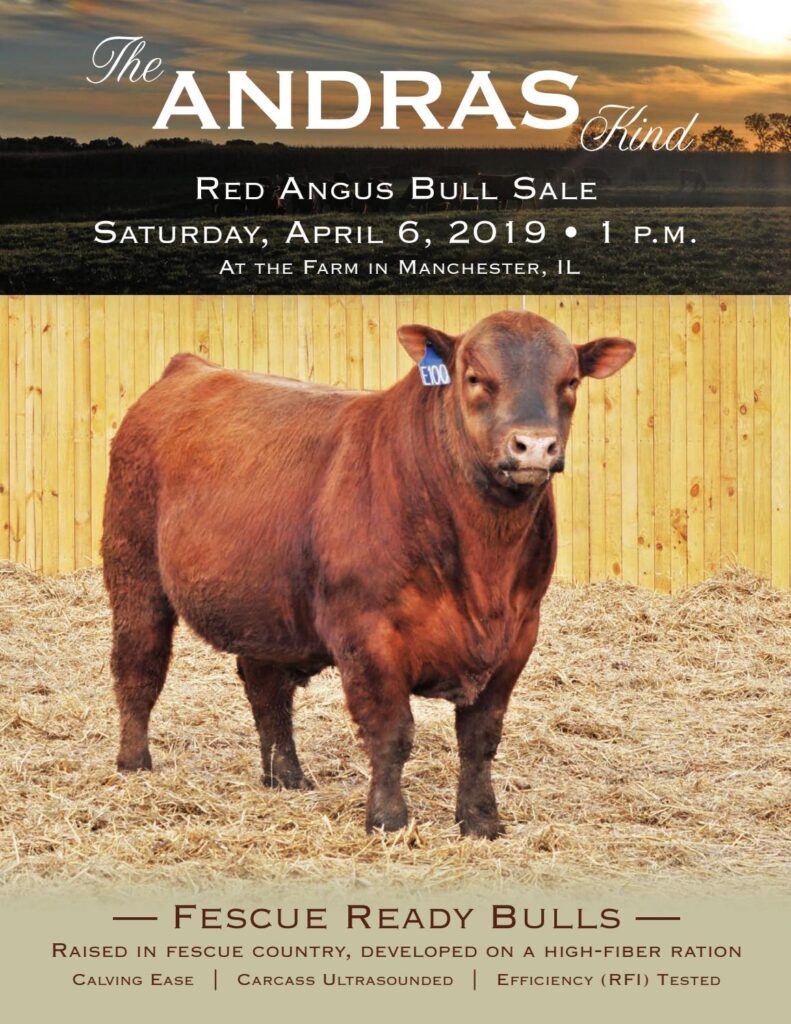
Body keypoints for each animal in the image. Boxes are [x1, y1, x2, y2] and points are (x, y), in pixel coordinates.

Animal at [102, 311, 635, 838]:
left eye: (570, 381)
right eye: (475, 377)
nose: (534, 446)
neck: (484, 568)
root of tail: (189, 368)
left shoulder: (519, 633)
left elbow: (480, 737)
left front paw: (481, 820)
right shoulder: (368, 634)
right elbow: (391, 732)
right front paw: (388, 819)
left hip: (264, 605)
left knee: (266, 687)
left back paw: (286, 776)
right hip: (134, 573)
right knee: (139, 667)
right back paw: (134, 762)